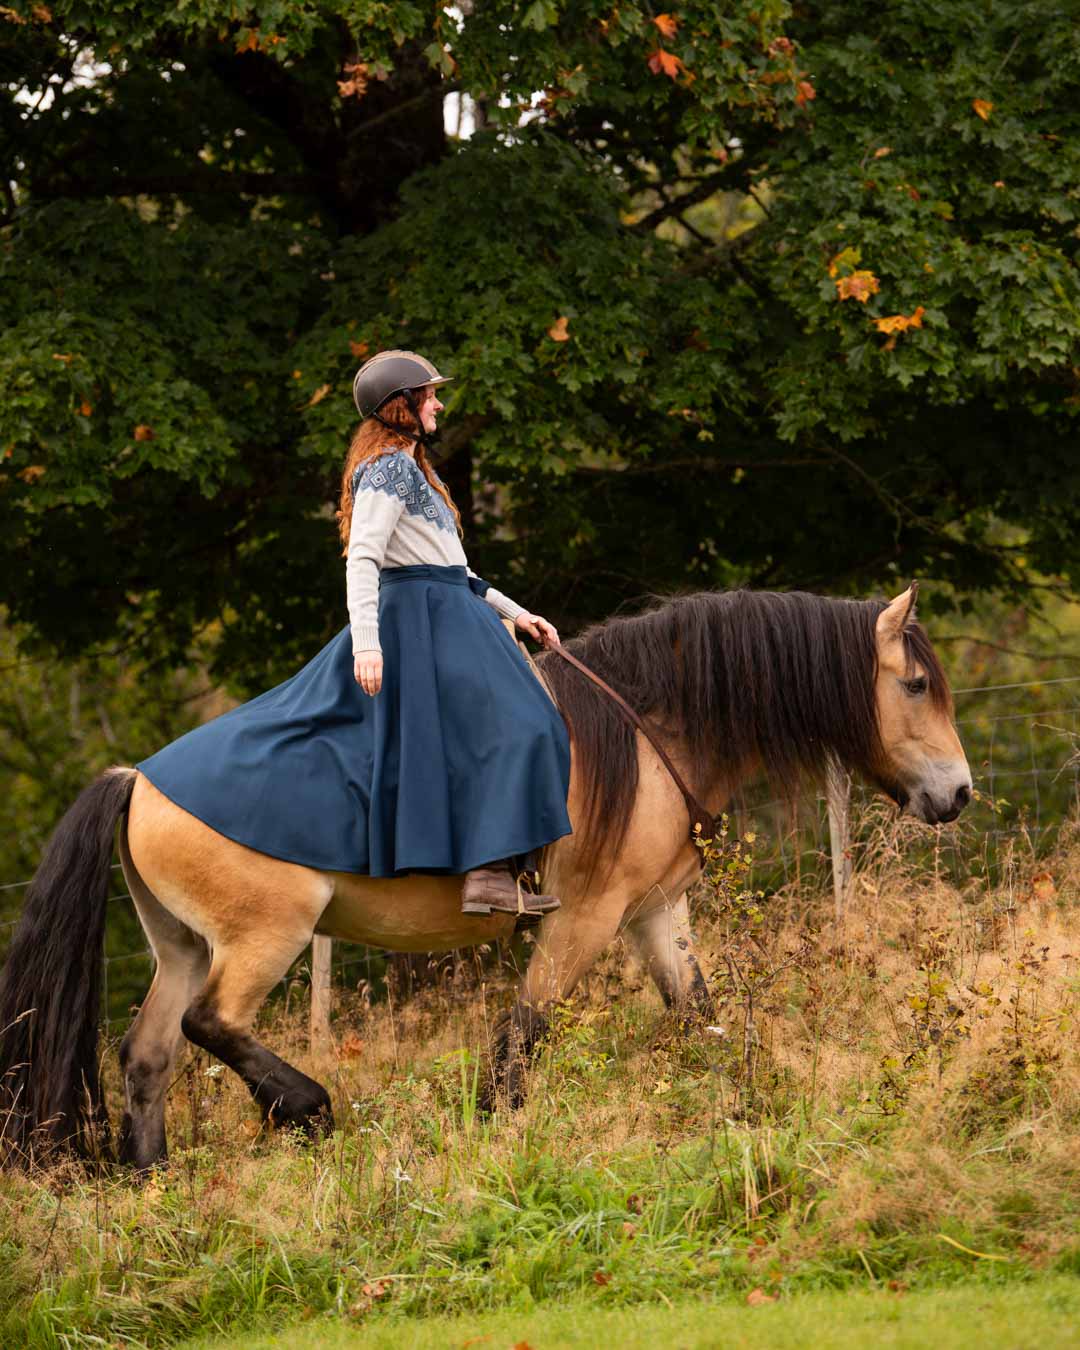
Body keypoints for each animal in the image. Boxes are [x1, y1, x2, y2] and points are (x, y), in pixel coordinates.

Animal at [0, 583, 972, 1171]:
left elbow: (702, 1016)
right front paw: (493, 1140)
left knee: (149, 1053)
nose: (959, 793)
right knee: (213, 1025)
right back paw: (306, 1105)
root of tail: (140, 779)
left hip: (183, 947)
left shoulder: (656, 914)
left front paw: (748, 1107)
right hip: (265, 938)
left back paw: (155, 1179)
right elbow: (522, 1038)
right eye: (916, 685)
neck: (646, 728)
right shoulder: (584, 918)